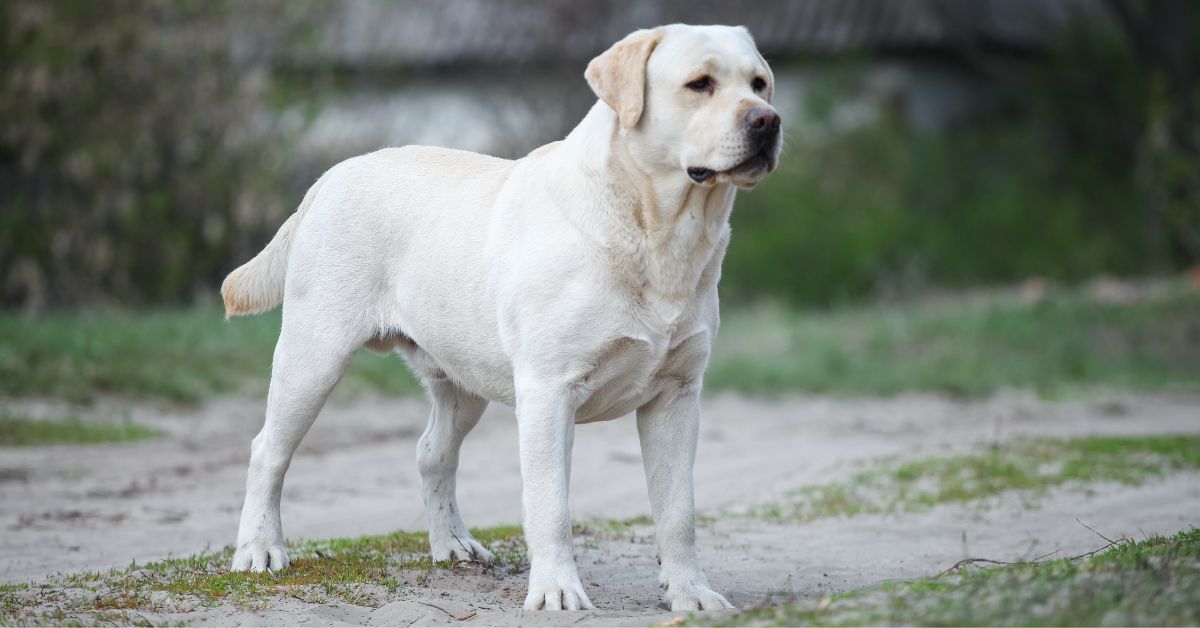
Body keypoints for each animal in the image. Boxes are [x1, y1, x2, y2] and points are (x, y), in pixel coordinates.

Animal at [220, 23, 782, 609]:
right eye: (700, 84)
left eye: (759, 84)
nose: (768, 121)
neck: (660, 233)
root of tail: (328, 177)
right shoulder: (549, 393)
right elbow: (551, 505)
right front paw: (557, 592)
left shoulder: (676, 396)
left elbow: (678, 511)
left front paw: (691, 595)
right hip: (314, 356)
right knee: (268, 451)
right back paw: (259, 550)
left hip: (464, 380)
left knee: (432, 453)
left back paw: (453, 544)